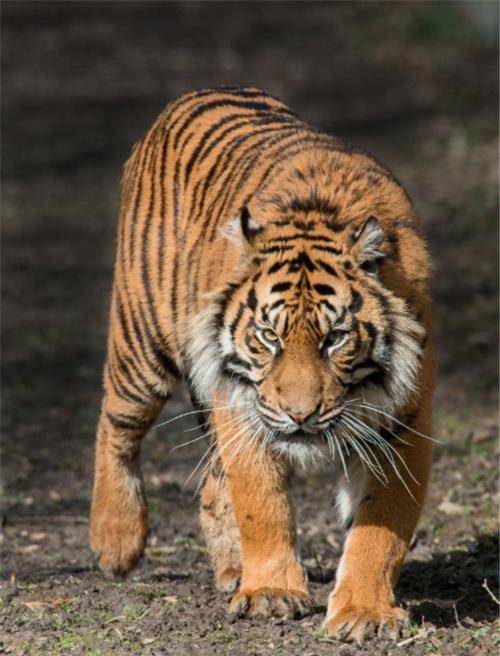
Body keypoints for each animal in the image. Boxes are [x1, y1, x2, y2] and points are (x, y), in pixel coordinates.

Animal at [89, 86, 435, 643]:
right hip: (142, 341)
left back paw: (233, 569)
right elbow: (261, 503)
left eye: (335, 338)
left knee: (212, 481)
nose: (300, 415)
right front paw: (273, 592)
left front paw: (365, 612)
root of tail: (194, 93)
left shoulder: (405, 420)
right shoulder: (241, 407)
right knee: (115, 425)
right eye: (270, 336)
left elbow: (380, 530)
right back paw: (115, 541)